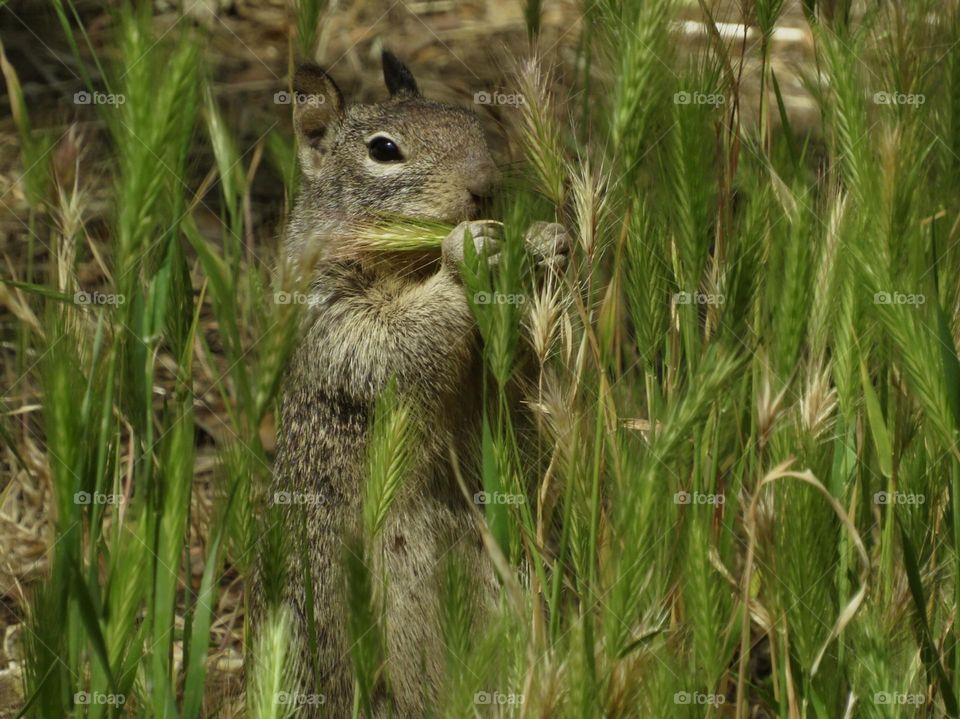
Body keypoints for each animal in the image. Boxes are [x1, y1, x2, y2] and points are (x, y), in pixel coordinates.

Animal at [258, 52, 568, 719]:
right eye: (383, 150)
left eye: (475, 122)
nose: (485, 185)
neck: (406, 262)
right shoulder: (331, 315)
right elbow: (389, 343)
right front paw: (465, 254)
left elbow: (518, 378)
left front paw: (545, 242)